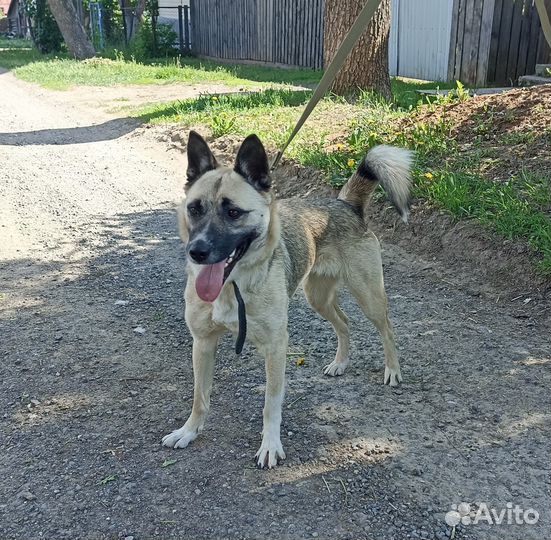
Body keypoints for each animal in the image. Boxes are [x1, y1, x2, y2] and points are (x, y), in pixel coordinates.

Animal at [162, 132, 412, 468]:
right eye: (195, 209)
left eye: (233, 212)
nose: (197, 252)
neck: (233, 284)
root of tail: (345, 203)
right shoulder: (202, 343)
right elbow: (199, 397)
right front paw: (188, 431)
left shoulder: (276, 346)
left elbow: (271, 404)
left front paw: (270, 445)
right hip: (317, 297)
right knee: (344, 322)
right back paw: (340, 362)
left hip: (368, 295)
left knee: (387, 329)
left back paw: (392, 369)